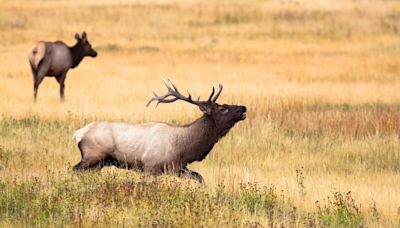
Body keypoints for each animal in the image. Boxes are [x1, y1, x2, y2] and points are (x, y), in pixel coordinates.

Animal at [72, 78, 247, 183]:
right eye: (223, 108)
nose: (243, 107)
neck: (184, 148)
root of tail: (78, 134)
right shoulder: (150, 167)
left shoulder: (178, 168)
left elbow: (200, 178)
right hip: (93, 156)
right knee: (75, 169)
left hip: (99, 163)